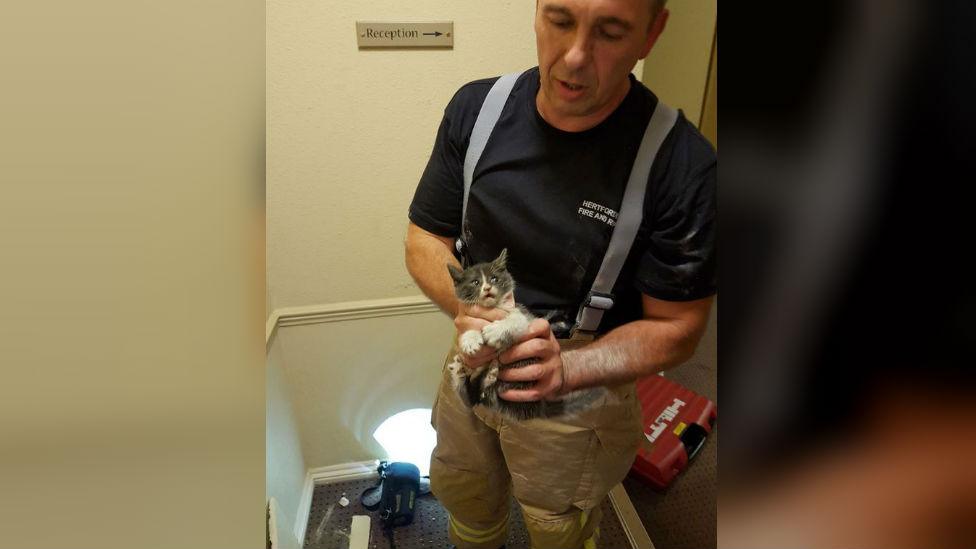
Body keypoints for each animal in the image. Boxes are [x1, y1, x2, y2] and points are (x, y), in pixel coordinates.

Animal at [448, 248, 604, 420]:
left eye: (494, 279)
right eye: (475, 282)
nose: (487, 288)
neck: (494, 306)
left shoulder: (523, 314)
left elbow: (517, 321)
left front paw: (496, 330)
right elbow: (472, 327)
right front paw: (470, 340)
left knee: (484, 396)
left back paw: (489, 376)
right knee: (473, 398)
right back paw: (461, 372)